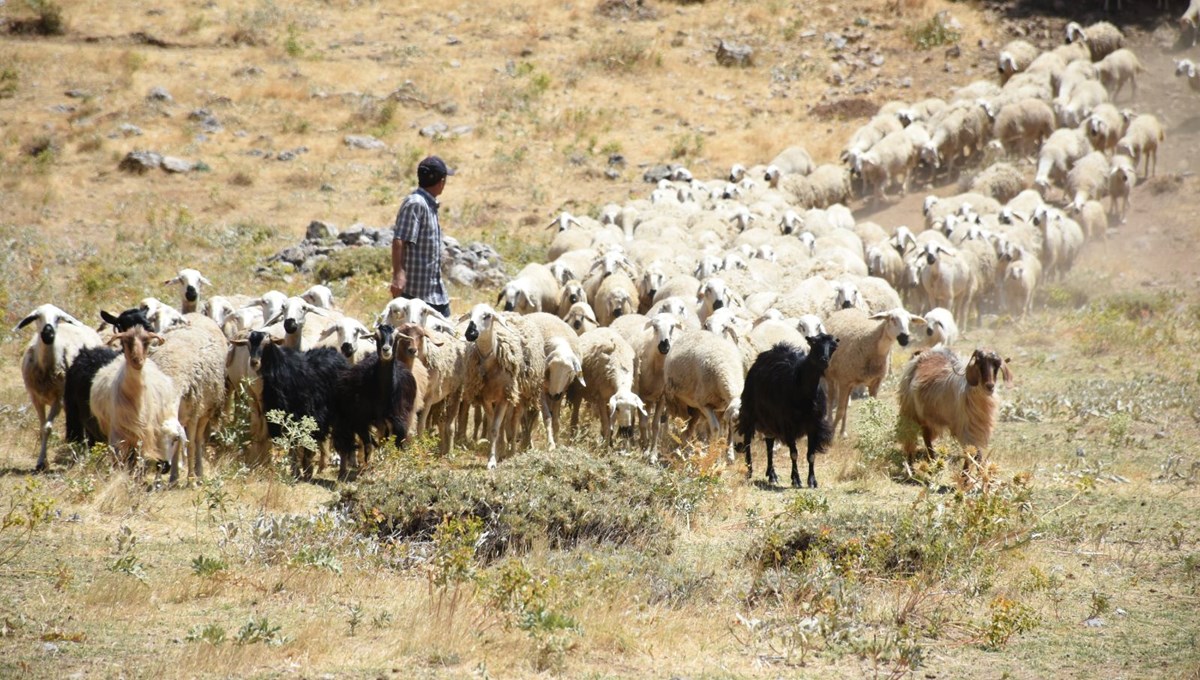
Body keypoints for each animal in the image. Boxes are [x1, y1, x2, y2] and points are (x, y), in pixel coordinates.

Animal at [15, 305, 102, 470]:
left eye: (58, 318)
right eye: (37, 317)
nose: (48, 334)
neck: (46, 368)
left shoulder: (59, 399)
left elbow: (48, 428)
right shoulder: (35, 398)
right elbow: (42, 428)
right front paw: (41, 462)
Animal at [231, 331, 350, 479]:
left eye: (267, 343)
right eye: (247, 345)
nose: (254, 362)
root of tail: (337, 355)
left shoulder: (301, 413)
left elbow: (297, 441)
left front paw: (300, 471)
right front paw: (300, 470)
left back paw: (342, 472)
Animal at [331, 323, 420, 479]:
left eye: (396, 338)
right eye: (377, 337)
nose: (386, 350)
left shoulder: (399, 420)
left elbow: (397, 443)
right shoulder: (360, 419)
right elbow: (368, 445)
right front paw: (369, 468)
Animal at [734, 335, 840, 489]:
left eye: (833, 346)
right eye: (814, 344)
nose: (824, 360)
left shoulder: (814, 424)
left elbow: (811, 455)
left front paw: (812, 481)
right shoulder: (787, 424)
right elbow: (794, 453)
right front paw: (796, 480)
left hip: (769, 420)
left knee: (769, 444)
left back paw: (772, 475)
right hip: (750, 411)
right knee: (747, 440)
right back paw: (749, 471)